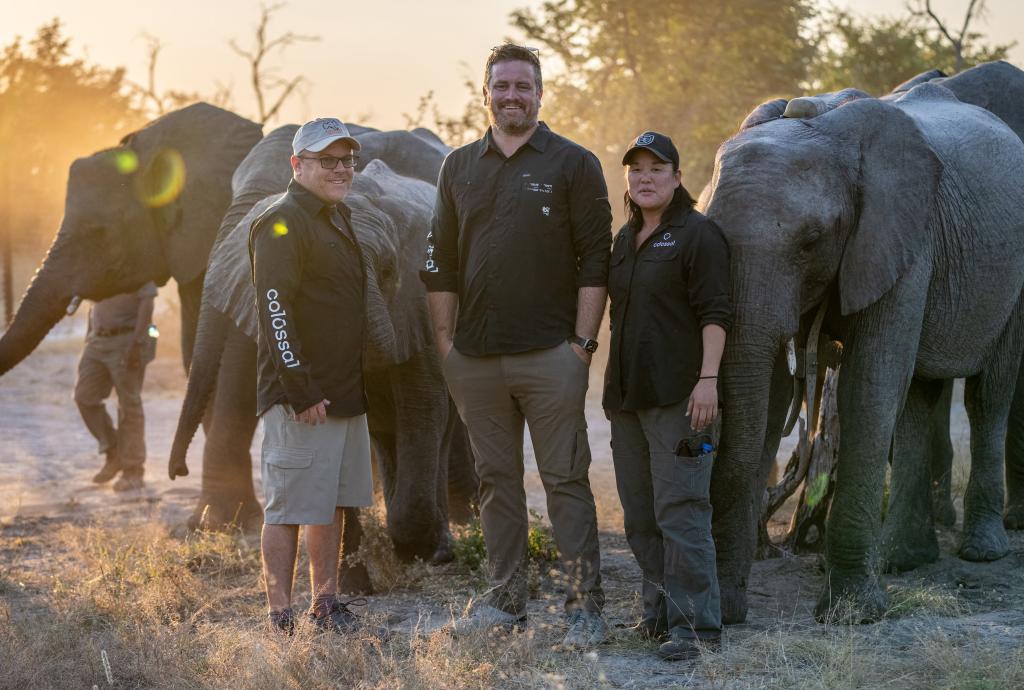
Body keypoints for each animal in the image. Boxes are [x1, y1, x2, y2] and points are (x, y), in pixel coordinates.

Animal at [165, 123, 477, 581]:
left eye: (388, 271)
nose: (177, 471)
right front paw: (356, 579)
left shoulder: (418, 302)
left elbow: (421, 404)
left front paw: (425, 553)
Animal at [700, 59, 1024, 622]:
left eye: (811, 242)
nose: (729, 612)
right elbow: (774, 392)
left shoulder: (904, 238)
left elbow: (868, 386)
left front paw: (853, 613)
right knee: (919, 397)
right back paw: (904, 559)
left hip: (1013, 275)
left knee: (987, 393)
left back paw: (980, 553)